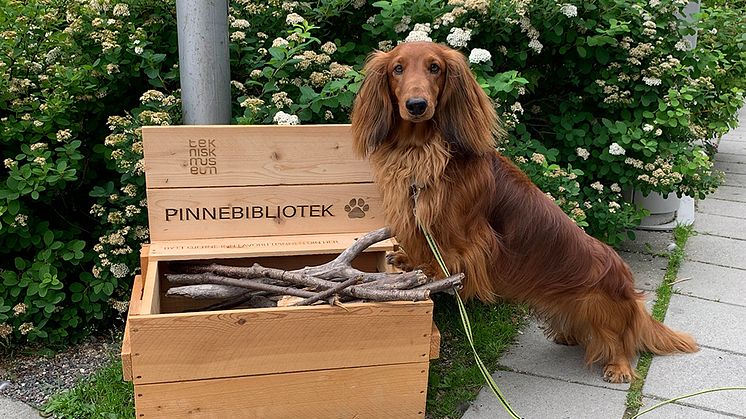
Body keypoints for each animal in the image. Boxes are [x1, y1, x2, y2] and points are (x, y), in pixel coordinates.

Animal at [350, 43, 696, 384]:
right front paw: (409, 260)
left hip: (599, 304)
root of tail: (629, 289)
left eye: (435, 67)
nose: (417, 105)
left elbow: (447, 255)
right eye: (397, 68)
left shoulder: (464, 231)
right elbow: (421, 246)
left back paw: (619, 366)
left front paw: (433, 272)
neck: (420, 150)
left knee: (620, 339)